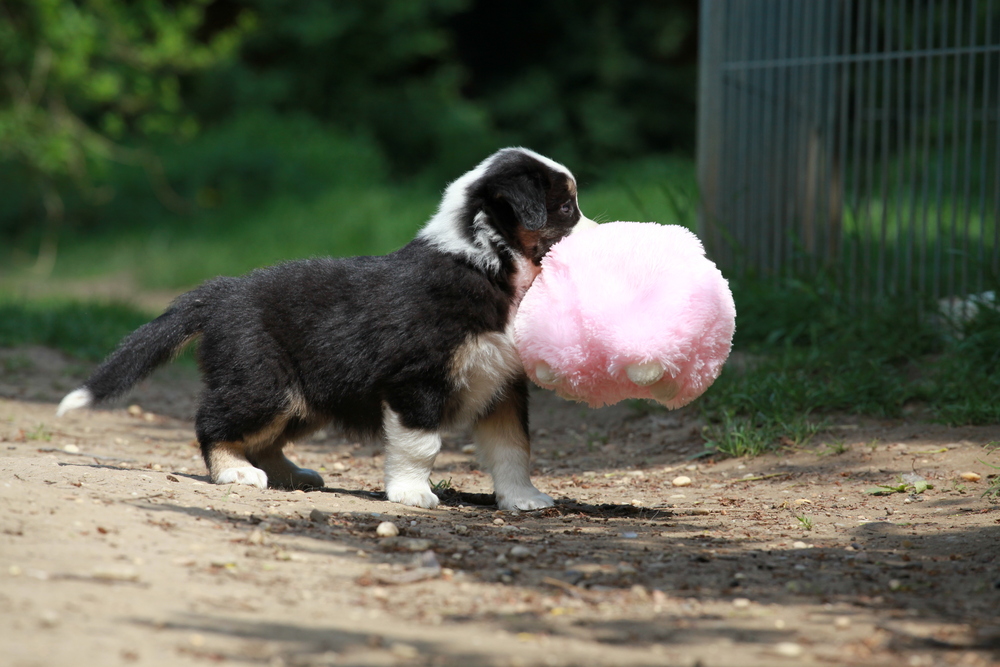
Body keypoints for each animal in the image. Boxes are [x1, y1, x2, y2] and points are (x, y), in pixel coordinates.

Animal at [58, 147, 596, 512]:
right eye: (565, 208)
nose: (602, 234)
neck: (483, 263)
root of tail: (220, 292)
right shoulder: (416, 380)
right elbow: (421, 445)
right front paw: (412, 494)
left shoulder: (503, 383)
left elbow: (513, 447)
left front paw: (523, 499)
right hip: (261, 383)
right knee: (213, 425)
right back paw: (236, 473)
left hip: (305, 396)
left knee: (267, 440)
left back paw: (290, 474)